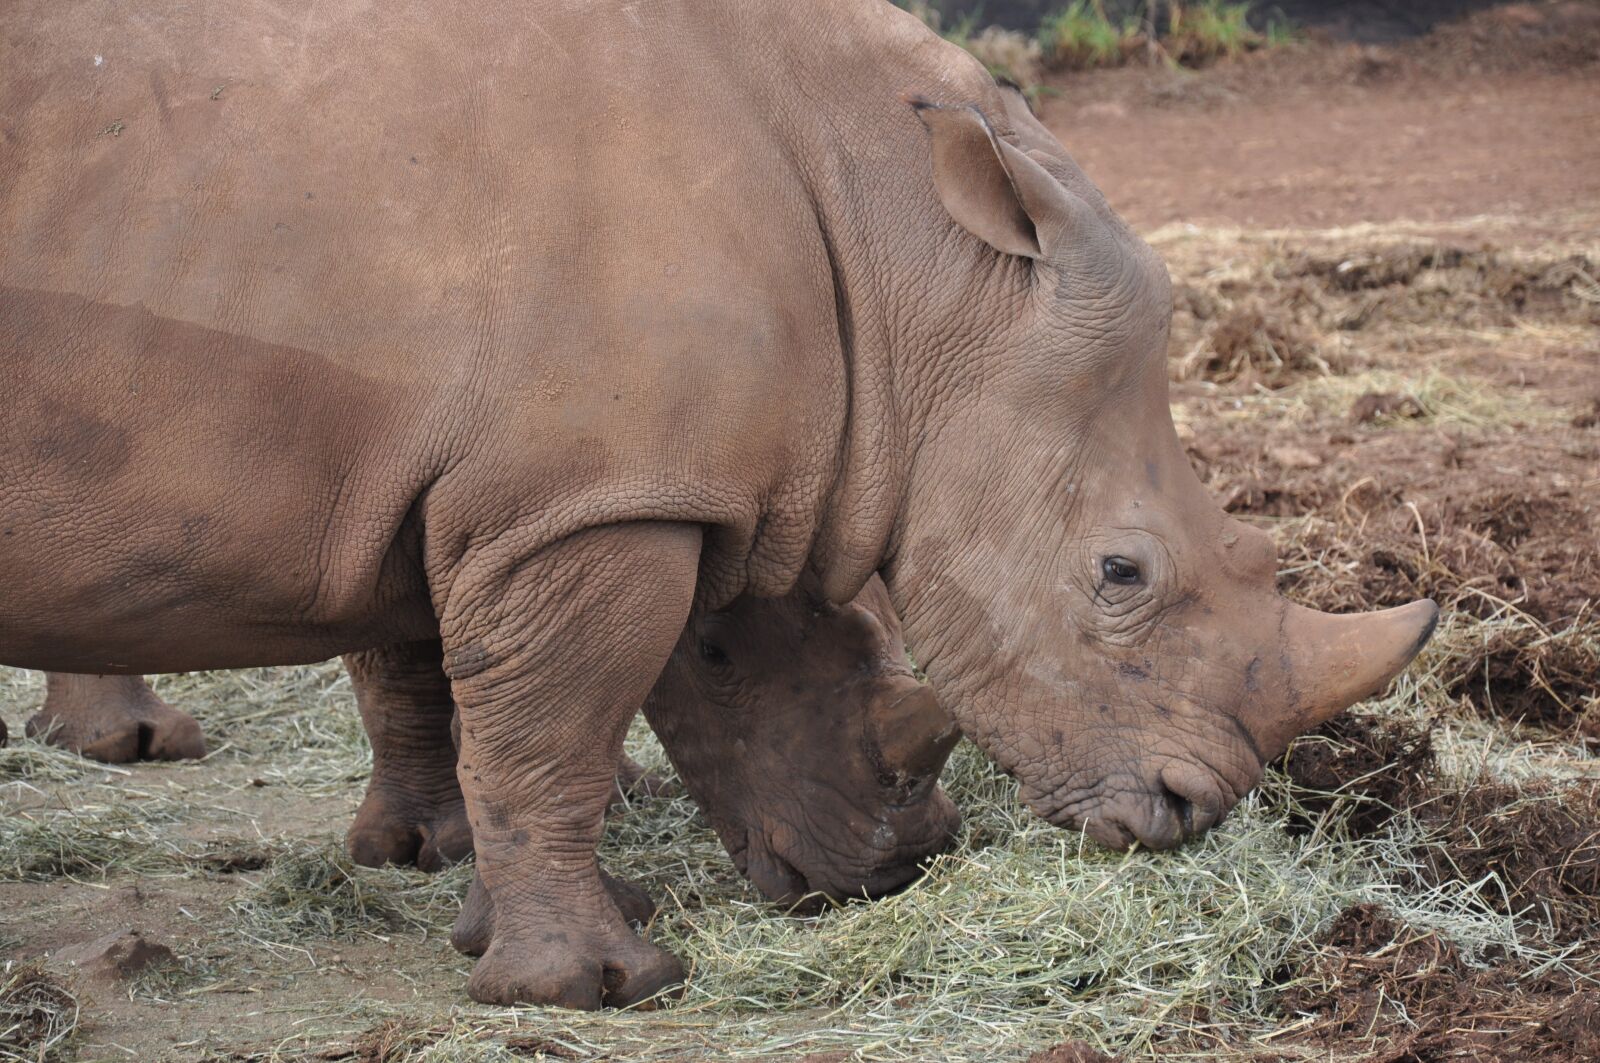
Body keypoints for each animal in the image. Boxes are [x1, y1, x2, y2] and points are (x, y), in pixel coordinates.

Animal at [0, 0, 1436, 1008]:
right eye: (1120, 574)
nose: (1194, 812)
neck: (921, 271)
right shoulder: (585, 499)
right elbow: (553, 725)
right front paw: (595, 986)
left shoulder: (541, 486)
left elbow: (483, 698)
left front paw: (481, 896)